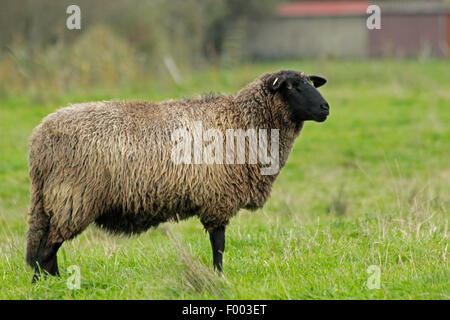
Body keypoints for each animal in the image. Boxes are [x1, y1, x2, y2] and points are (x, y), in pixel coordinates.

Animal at [26, 70, 328, 280]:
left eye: (311, 83)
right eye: (291, 86)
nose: (325, 108)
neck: (242, 121)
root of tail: (39, 140)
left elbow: (217, 245)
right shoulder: (218, 198)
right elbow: (219, 245)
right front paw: (219, 278)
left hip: (52, 201)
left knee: (46, 248)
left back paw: (54, 282)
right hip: (72, 197)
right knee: (45, 251)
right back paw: (44, 286)